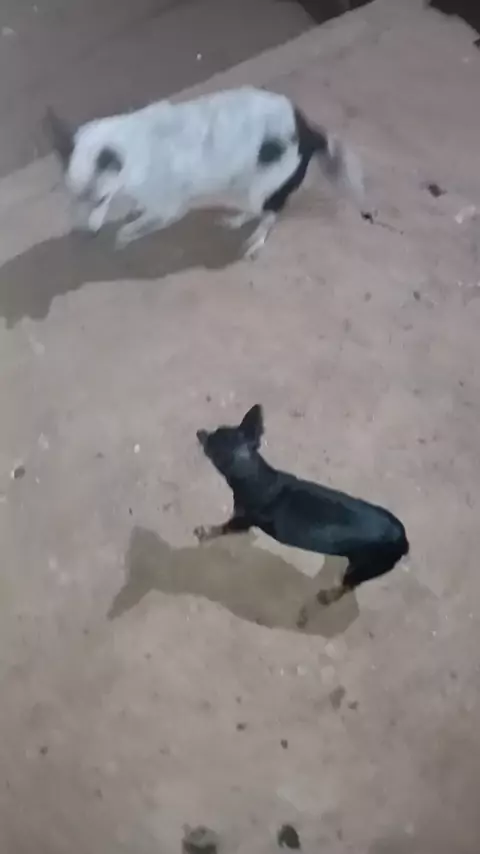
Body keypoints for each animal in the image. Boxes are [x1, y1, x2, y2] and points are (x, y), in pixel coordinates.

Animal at [44, 87, 363, 257]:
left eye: (98, 200)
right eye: (75, 199)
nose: (89, 235)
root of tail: (307, 132)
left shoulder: (168, 209)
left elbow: (133, 227)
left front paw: (125, 236)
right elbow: (137, 212)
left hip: (261, 188)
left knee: (272, 213)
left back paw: (256, 238)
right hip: (243, 186)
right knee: (256, 209)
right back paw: (236, 219)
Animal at [195, 404, 409, 626]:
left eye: (212, 439)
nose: (199, 431)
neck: (257, 478)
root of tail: (404, 540)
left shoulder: (242, 520)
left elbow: (222, 527)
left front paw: (206, 531)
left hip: (365, 568)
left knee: (345, 588)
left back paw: (321, 600)